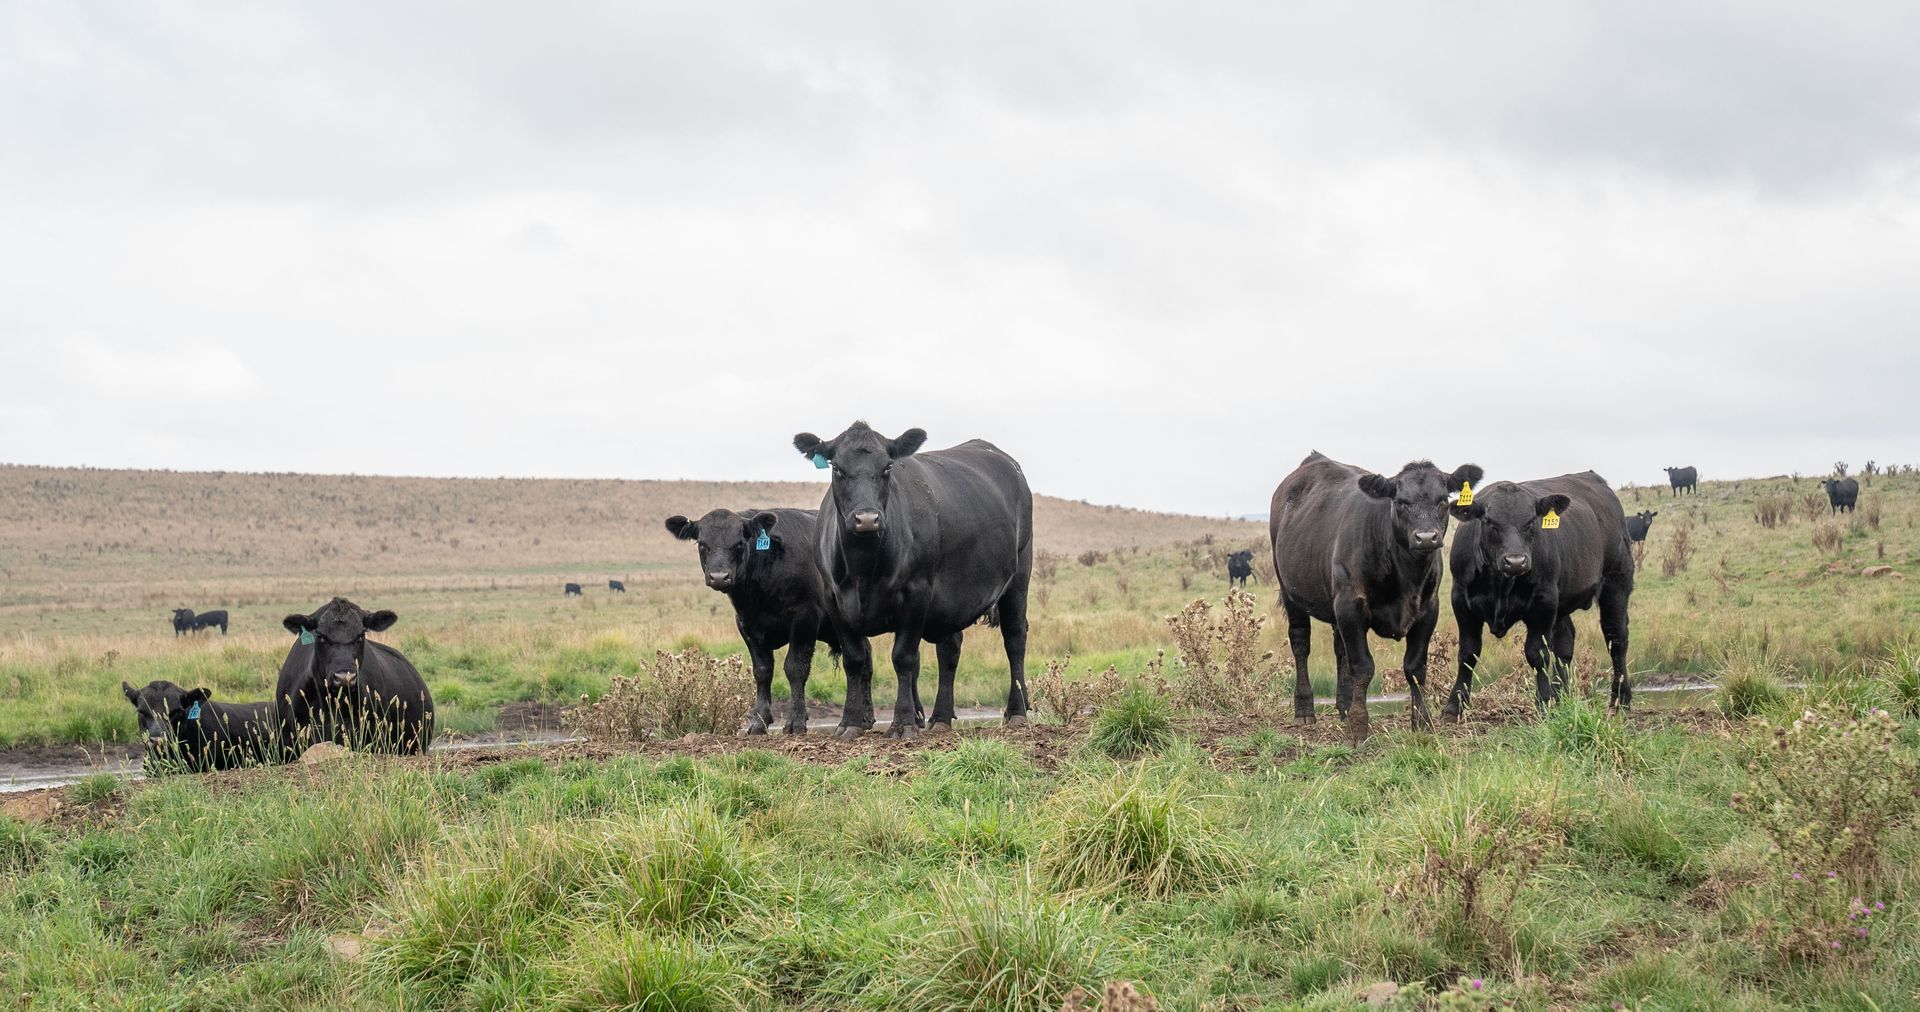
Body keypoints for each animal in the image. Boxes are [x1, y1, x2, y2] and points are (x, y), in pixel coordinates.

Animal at [665, 508, 842, 734]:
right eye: (702, 544)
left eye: (739, 543)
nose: (719, 577)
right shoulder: (746, 625)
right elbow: (762, 671)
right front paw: (759, 721)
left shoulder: (805, 618)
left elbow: (795, 668)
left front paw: (796, 722)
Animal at [792, 422, 1033, 739]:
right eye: (837, 468)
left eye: (887, 467)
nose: (866, 518)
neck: (862, 568)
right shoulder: (834, 601)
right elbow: (854, 660)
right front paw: (850, 721)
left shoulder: (917, 593)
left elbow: (903, 658)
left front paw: (904, 722)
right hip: (954, 597)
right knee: (950, 649)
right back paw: (940, 717)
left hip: (1019, 576)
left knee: (1014, 638)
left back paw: (1017, 711)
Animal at [1270, 452, 1483, 737]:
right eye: (1401, 502)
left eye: (1442, 501)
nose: (1426, 537)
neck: (1407, 575)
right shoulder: (1351, 605)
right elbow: (1362, 667)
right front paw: (1359, 727)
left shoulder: (1429, 609)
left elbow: (1414, 668)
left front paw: (1422, 721)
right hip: (1290, 592)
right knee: (1300, 644)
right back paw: (1305, 709)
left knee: (1340, 650)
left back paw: (1344, 705)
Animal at [1445, 472, 1635, 716]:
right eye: (1489, 522)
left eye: (1530, 521)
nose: (1516, 561)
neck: (1500, 584)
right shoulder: (1461, 601)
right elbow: (1468, 653)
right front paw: (1455, 705)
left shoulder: (1543, 602)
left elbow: (1537, 653)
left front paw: (1544, 701)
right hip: (1563, 602)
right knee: (1565, 642)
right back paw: (1562, 695)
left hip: (1616, 582)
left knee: (1616, 638)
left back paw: (1620, 698)